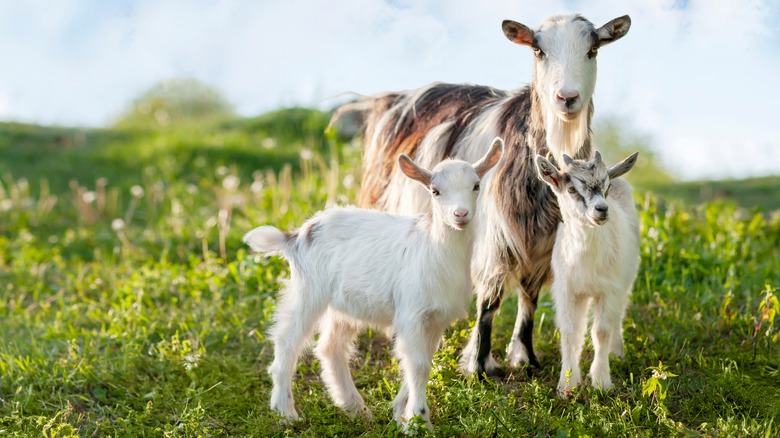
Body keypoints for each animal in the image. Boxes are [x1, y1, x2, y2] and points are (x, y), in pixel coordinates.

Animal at [245, 139, 506, 428]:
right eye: (435, 191)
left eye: (476, 186)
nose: (460, 214)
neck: (432, 248)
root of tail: (296, 236)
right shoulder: (411, 313)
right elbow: (418, 365)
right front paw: (418, 422)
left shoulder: (436, 318)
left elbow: (420, 362)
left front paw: (401, 414)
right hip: (309, 291)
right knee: (287, 342)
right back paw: (286, 413)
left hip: (344, 305)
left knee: (331, 348)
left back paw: (354, 408)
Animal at [330, 13, 632, 376]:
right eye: (538, 50)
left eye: (593, 49)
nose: (567, 97)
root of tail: (388, 99)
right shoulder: (494, 236)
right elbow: (490, 300)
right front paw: (478, 365)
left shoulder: (543, 242)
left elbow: (529, 298)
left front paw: (526, 357)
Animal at [536, 151, 640, 396]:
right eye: (571, 189)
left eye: (607, 186)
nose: (602, 209)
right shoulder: (567, 290)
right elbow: (569, 331)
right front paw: (567, 384)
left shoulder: (610, 289)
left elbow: (601, 331)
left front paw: (602, 381)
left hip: (625, 282)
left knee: (617, 317)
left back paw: (617, 352)